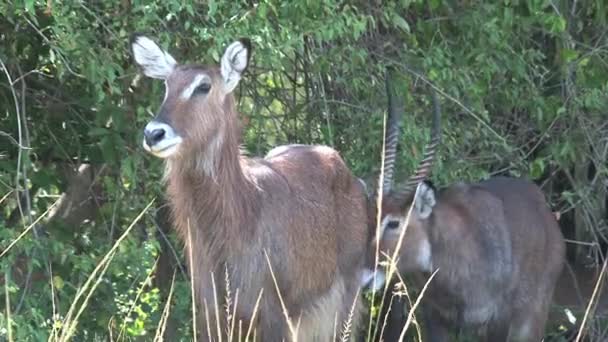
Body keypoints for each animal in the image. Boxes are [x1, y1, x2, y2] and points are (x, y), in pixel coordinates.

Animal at [131, 36, 370, 340]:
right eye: (166, 85)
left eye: (203, 86)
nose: (154, 133)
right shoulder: (211, 313)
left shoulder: (272, 314)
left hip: (344, 301)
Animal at [360, 83, 564, 342]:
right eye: (371, 216)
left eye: (394, 223)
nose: (363, 276)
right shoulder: (435, 317)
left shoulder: (499, 320)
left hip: (531, 319)